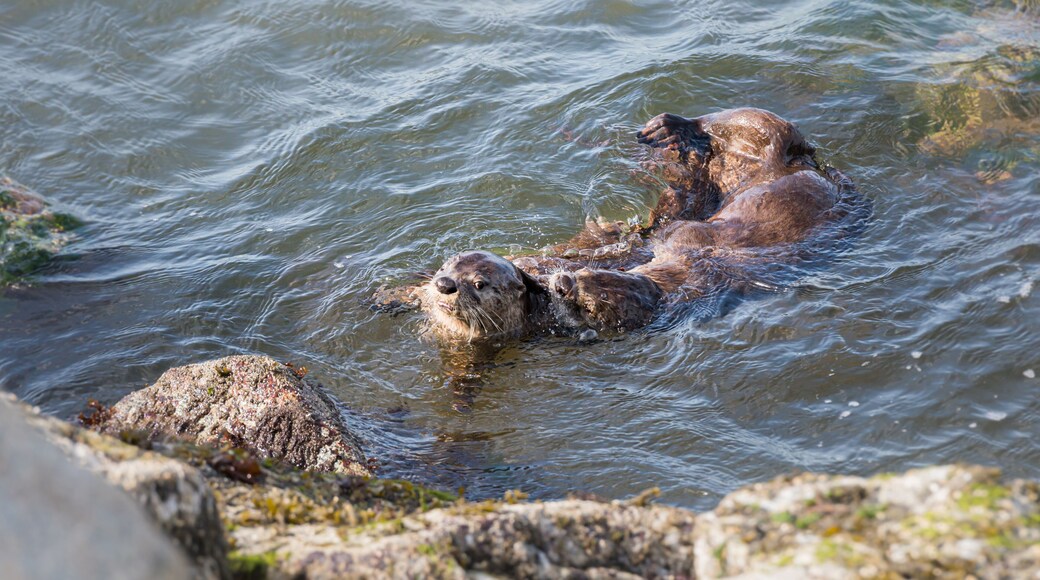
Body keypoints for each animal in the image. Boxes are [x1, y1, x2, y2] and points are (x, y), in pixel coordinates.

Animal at [376, 108, 866, 341]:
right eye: (452, 265)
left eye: (479, 284)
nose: (563, 285)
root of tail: (805, 162)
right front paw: (395, 293)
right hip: (741, 160)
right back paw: (670, 133)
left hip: (772, 144)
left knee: (758, 122)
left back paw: (672, 128)